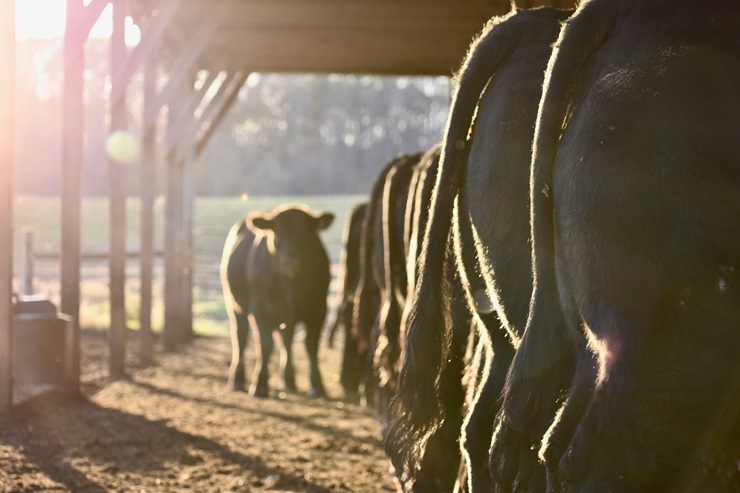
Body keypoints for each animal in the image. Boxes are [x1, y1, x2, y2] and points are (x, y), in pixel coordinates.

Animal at [222, 204, 334, 398]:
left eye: (307, 234)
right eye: (277, 234)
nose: (291, 258)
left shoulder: (319, 309)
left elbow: (311, 346)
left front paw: (317, 385)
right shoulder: (260, 309)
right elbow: (265, 345)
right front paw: (260, 384)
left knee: (286, 341)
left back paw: (289, 379)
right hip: (236, 306)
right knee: (240, 338)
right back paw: (237, 380)